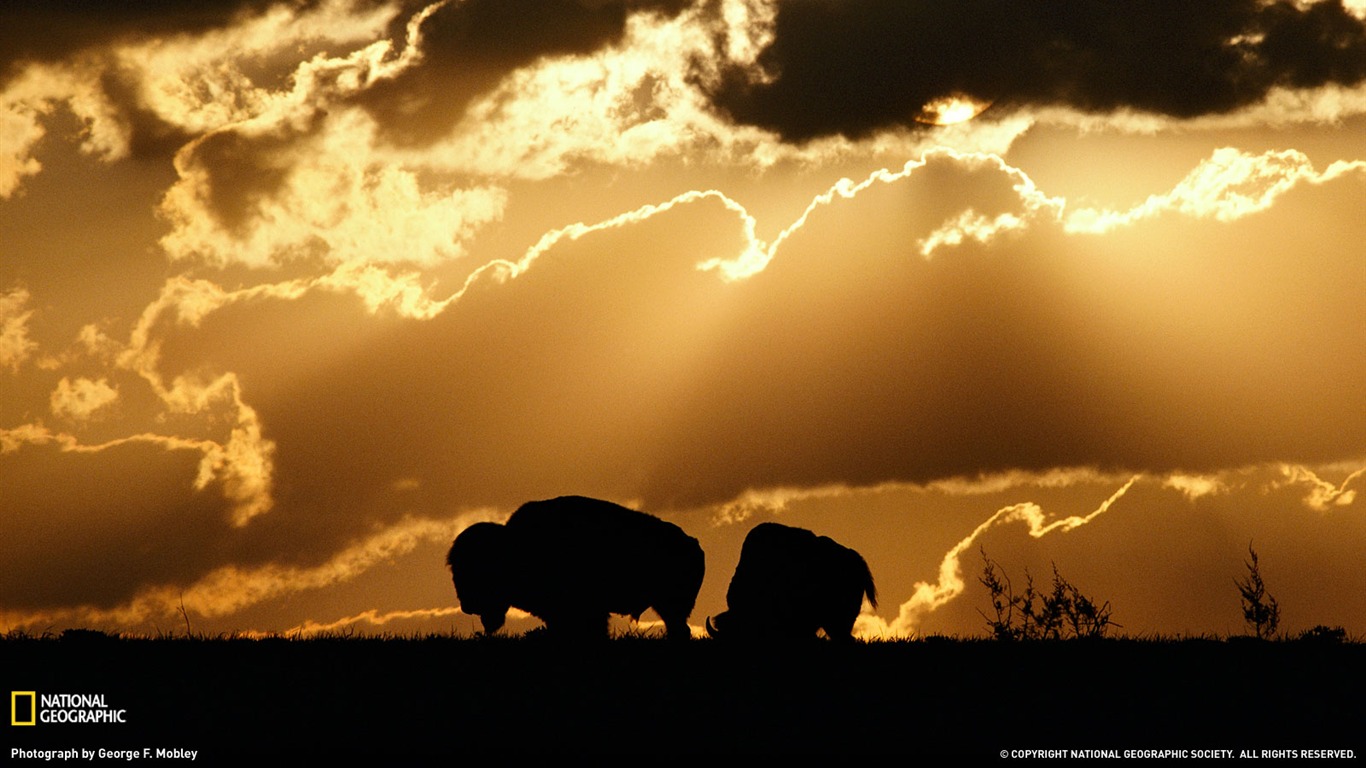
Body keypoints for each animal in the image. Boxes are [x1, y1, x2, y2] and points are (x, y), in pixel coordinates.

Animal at [448, 491, 704, 636]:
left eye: (476, 567)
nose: (466, 604)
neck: (515, 546)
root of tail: (693, 544)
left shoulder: (587, 612)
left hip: (672, 605)